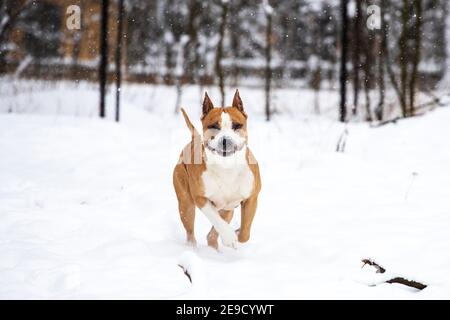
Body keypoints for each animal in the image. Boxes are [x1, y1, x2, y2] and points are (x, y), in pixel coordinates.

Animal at [174, 90, 262, 250]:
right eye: (213, 126)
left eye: (237, 125)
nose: (226, 140)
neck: (227, 166)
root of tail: (194, 139)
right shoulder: (200, 198)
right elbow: (215, 219)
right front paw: (229, 237)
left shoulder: (251, 198)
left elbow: (245, 233)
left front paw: (237, 233)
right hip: (186, 203)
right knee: (191, 231)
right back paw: (192, 248)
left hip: (227, 209)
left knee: (212, 235)